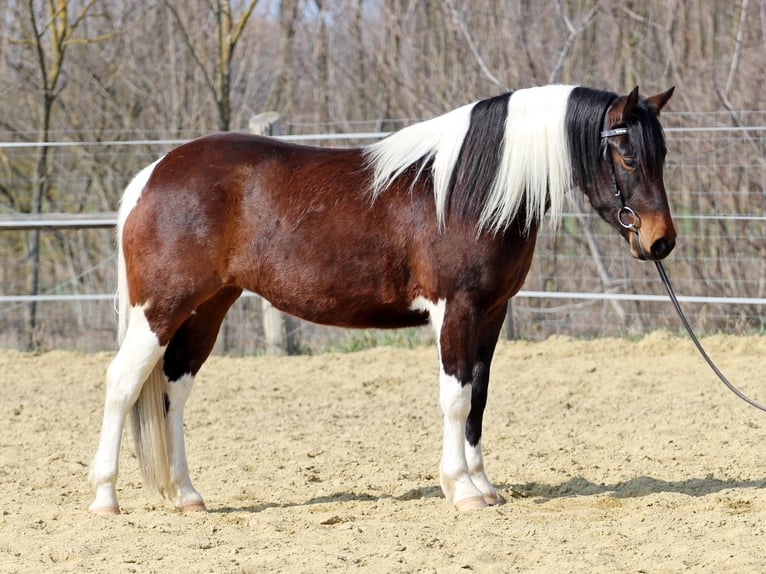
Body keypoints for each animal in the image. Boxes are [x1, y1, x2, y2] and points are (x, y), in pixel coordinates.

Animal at [88, 84, 676, 515]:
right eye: (626, 156)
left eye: (662, 154)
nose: (660, 241)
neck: (470, 189)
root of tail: (153, 174)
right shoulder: (456, 309)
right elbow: (455, 397)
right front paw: (462, 491)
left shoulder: (491, 312)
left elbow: (479, 398)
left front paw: (484, 486)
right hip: (159, 310)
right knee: (121, 384)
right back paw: (105, 498)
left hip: (207, 307)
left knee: (173, 390)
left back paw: (187, 496)